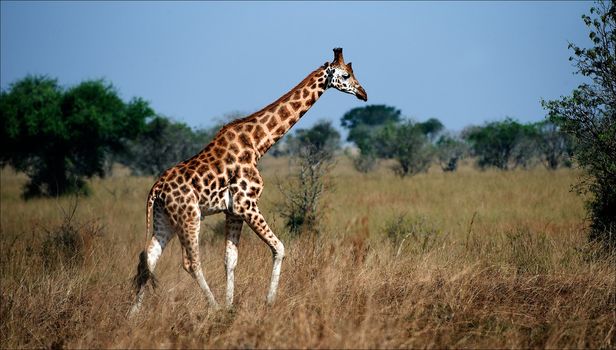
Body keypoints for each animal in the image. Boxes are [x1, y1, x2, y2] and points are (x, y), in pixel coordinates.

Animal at [131, 47, 368, 314]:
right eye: (346, 75)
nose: (363, 93)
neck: (258, 143)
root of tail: (156, 189)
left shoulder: (233, 210)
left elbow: (230, 259)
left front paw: (231, 306)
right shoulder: (247, 203)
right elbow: (279, 248)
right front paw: (267, 302)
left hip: (165, 219)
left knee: (149, 259)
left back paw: (132, 316)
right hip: (188, 215)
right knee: (190, 262)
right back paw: (213, 308)